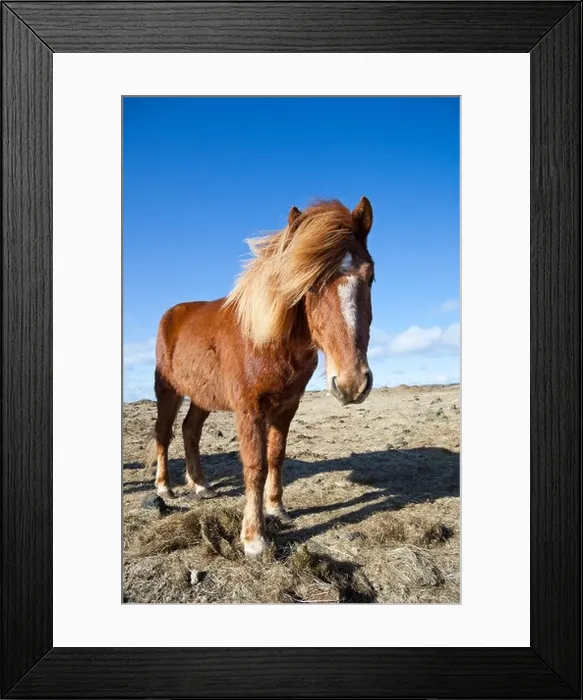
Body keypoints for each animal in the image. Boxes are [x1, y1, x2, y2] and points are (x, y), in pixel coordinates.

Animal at [151, 197, 375, 557]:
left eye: (370, 278)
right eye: (310, 284)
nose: (352, 384)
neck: (265, 340)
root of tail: (172, 314)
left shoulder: (287, 408)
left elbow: (276, 457)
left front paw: (276, 507)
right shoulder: (249, 409)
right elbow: (255, 466)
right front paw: (254, 538)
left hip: (203, 396)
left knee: (190, 431)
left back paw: (201, 486)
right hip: (168, 391)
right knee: (163, 434)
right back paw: (164, 488)